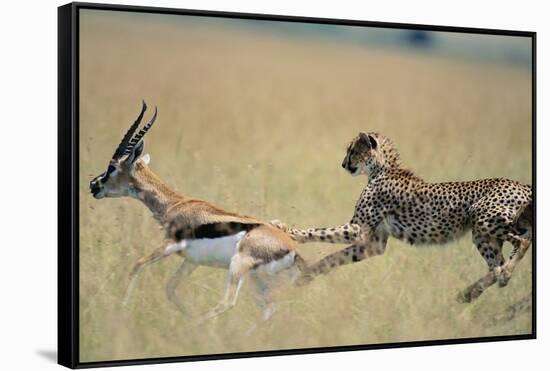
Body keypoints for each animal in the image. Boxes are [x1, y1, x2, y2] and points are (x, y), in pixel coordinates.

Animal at [274, 132, 532, 304]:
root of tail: (521, 184)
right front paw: (306, 276)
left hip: (485, 219)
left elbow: (320, 231)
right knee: (495, 266)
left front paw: (287, 230)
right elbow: (333, 258)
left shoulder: (358, 229)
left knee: (522, 243)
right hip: (482, 235)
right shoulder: (373, 243)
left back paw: (503, 275)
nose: (343, 164)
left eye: (352, 151)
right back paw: (470, 292)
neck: (382, 169)